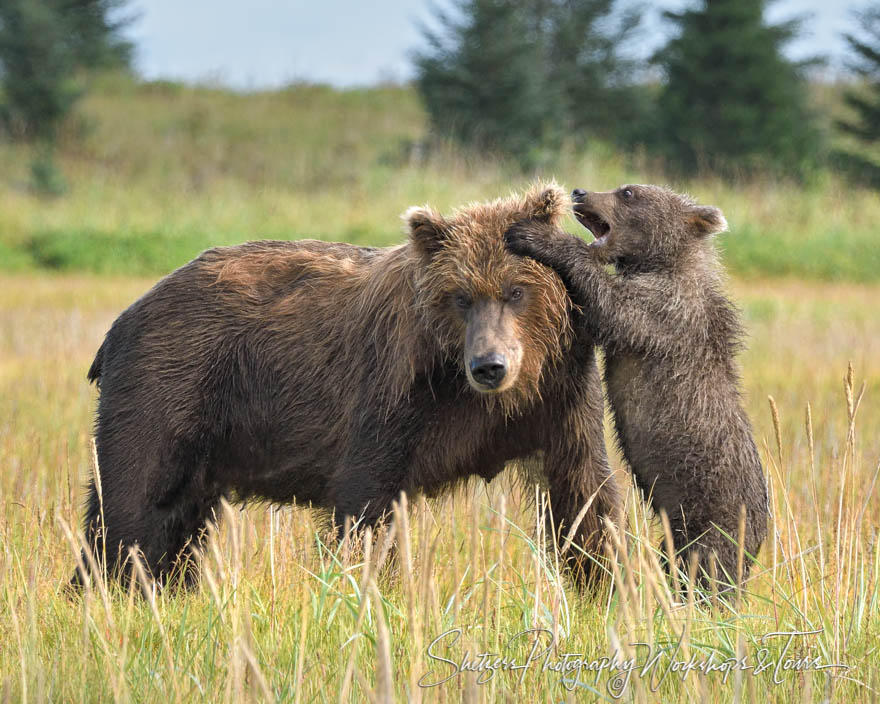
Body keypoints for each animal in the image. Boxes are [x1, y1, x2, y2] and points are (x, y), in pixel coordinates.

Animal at [81, 184, 620, 584]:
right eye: (460, 296)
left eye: (516, 291)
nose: (489, 366)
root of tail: (124, 318)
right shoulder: (394, 394)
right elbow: (367, 501)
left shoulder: (560, 394)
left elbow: (584, 493)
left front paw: (603, 586)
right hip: (170, 385)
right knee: (131, 506)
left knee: (174, 525)